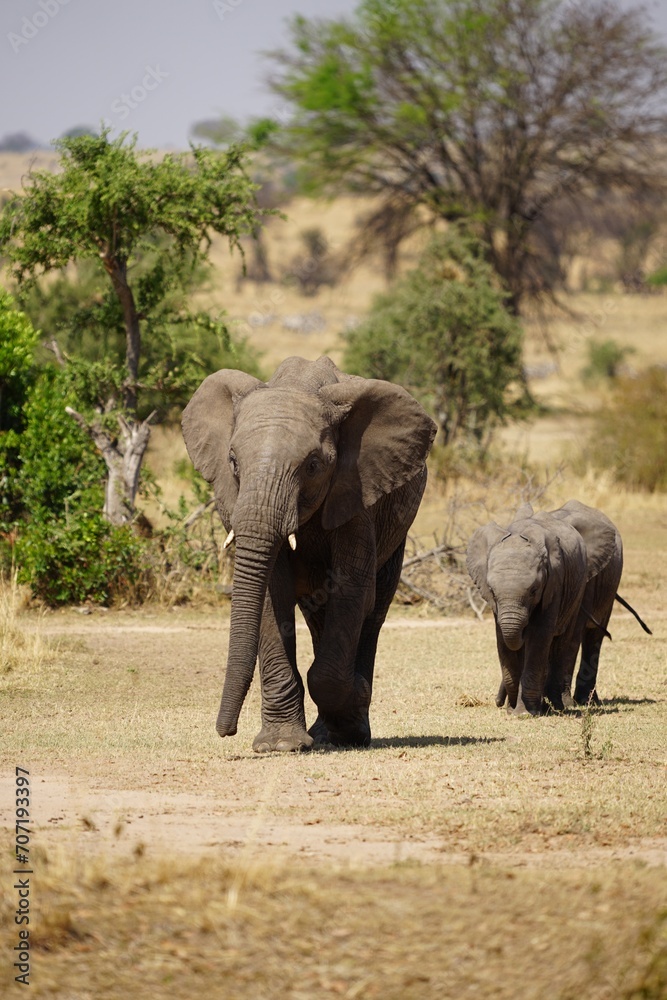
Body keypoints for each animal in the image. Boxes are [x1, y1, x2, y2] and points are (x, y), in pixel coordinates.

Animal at [182, 355, 436, 751]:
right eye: (233, 462)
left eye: (313, 465)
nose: (226, 731)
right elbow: (272, 594)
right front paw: (280, 745)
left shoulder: (357, 490)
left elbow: (351, 590)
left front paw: (352, 705)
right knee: (318, 615)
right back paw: (324, 732)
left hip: (398, 532)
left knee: (373, 611)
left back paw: (348, 726)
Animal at [466, 502, 618, 715]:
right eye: (492, 592)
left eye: (534, 590)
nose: (499, 703)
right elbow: (503, 640)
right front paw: (515, 709)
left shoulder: (554, 582)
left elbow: (538, 636)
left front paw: (524, 713)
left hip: (581, 588)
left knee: (573, 639)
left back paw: (560, 705)